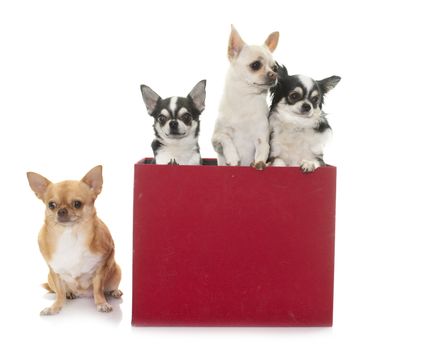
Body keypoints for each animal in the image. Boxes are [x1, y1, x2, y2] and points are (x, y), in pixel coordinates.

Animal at [26, 165, 122, 316]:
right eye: (51, 205)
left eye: (77, 204)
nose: (61, 211)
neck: (70, 235)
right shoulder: (54, 271)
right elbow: (59, 292)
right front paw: (54, 308)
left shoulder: (102, 266)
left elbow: (98, 288)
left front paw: (101, 303)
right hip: (49, 278)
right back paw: (69, 294)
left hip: (116, 271)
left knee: (108, 287)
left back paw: (114, 292)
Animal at [212, 24, 280, 170]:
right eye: (255, 65)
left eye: (275, 68)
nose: (274, 75)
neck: (246, 100)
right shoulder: (215, 138)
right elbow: (226, 138)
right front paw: (232, 157)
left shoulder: (261, 139)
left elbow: (262, 151)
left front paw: (258, 163)